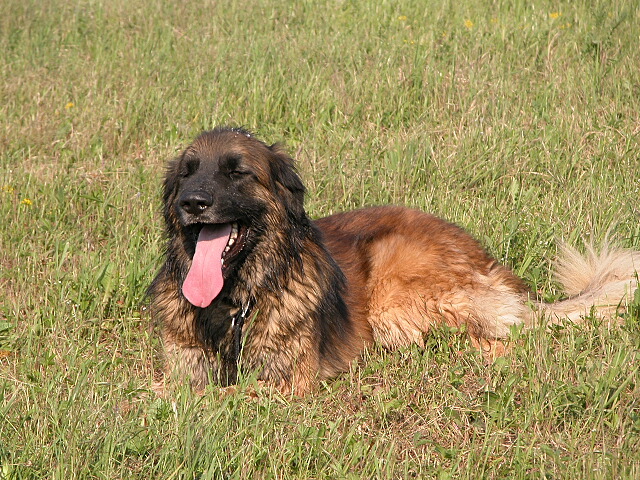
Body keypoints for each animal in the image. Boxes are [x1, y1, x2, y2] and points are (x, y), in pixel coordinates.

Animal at [148, 126, 636, 394]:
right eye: (188, 172)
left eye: (237, 172)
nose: (192, 203)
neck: (234, 301)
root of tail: (486, 258)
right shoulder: (184, 366)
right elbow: (168, 389)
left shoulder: (285, 381)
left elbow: (204, 398)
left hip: (396, 288)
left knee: (508, 339)